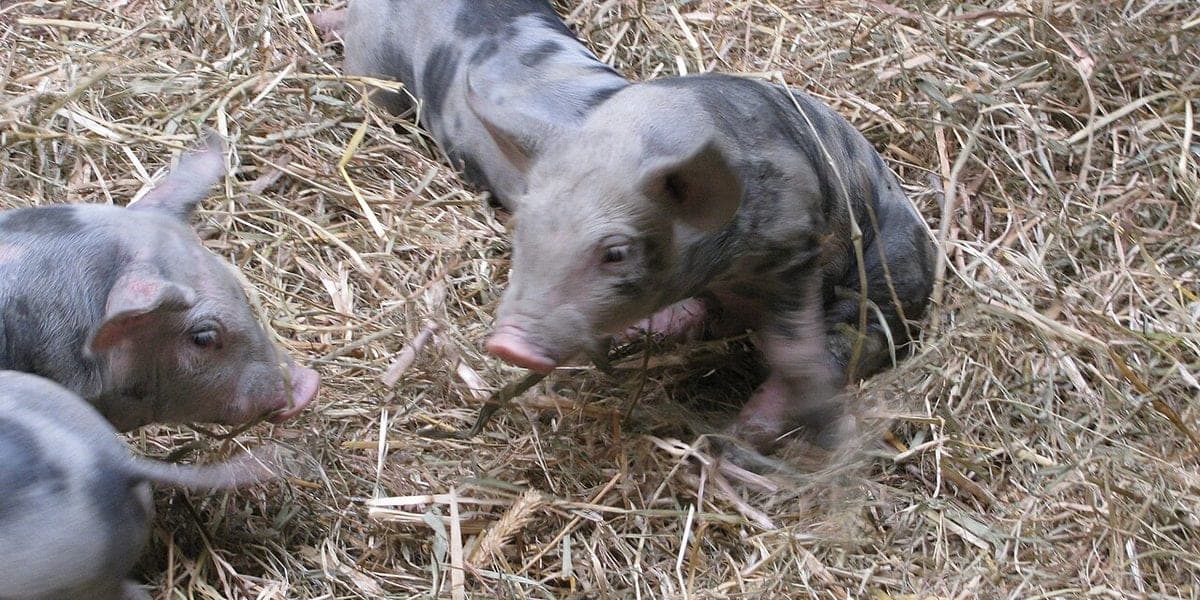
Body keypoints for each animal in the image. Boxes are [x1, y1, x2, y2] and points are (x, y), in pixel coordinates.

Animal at [476, 74, 936, 452]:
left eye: (616, 253)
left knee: (851, 339)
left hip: (889, 279)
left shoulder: (797, 244)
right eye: (522, 225)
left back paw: (742, 437)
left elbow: (794, 352)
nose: (508, 344)